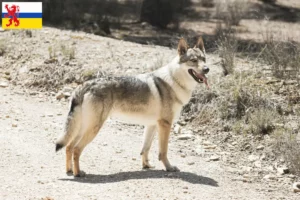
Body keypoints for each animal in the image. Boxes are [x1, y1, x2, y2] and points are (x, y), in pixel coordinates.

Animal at [55, 37, 209, 177]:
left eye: (204, 59)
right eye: (194, 60)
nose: (207, 69)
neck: (175, 81)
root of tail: (84, 85)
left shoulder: (152, 125)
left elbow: (145, 149)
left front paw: (146, 166)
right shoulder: (165, 124)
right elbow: (163, 152)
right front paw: (169, 168)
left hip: (83, 128)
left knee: (68, 146)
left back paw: (69, 171)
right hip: (93, 128)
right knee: (76, 149)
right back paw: (78, 173)